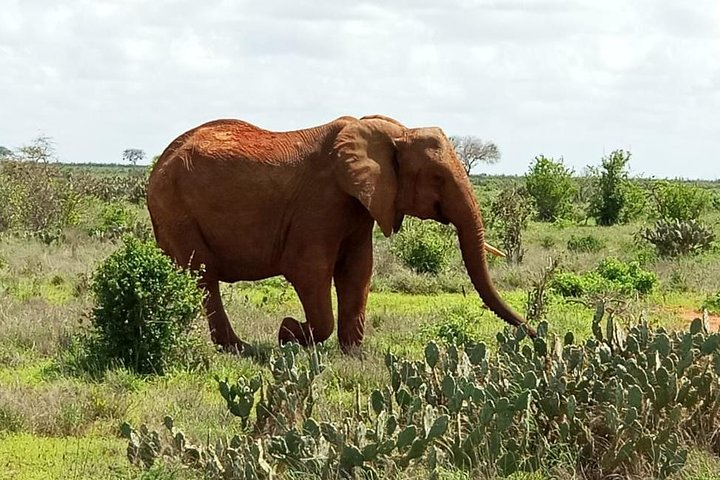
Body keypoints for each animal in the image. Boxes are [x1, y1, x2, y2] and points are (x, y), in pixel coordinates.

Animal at [146, 115, 532, 354]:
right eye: (437, 178)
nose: (534, 333)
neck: (394, 132)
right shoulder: (320, 202)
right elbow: (309, 270)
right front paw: (289, 334)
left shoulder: (361, 205)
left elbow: (358, 271)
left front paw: (353, 355)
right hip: (175, 208)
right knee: (203, 275)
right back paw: (240, 349)